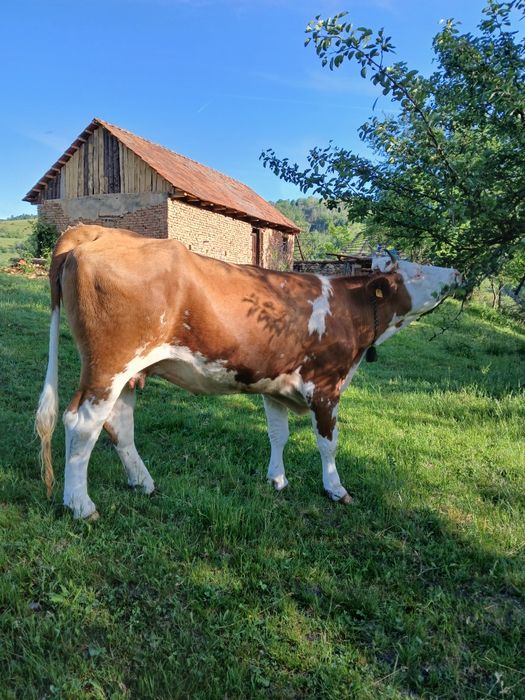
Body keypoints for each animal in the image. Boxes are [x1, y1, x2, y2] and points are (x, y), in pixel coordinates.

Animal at [35, 224, 461, 519]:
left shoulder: (276, 386)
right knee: (81, 423)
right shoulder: (326, 386)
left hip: (129, 372)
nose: (455, 272)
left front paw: (277, 480)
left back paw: (144, 483)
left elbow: (278, 435)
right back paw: (80, 505)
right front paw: (336, 489)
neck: (350, 309)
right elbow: (328, 443)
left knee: (119, 424)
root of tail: (95, 230)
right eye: (416, 273)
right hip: (108, 365)